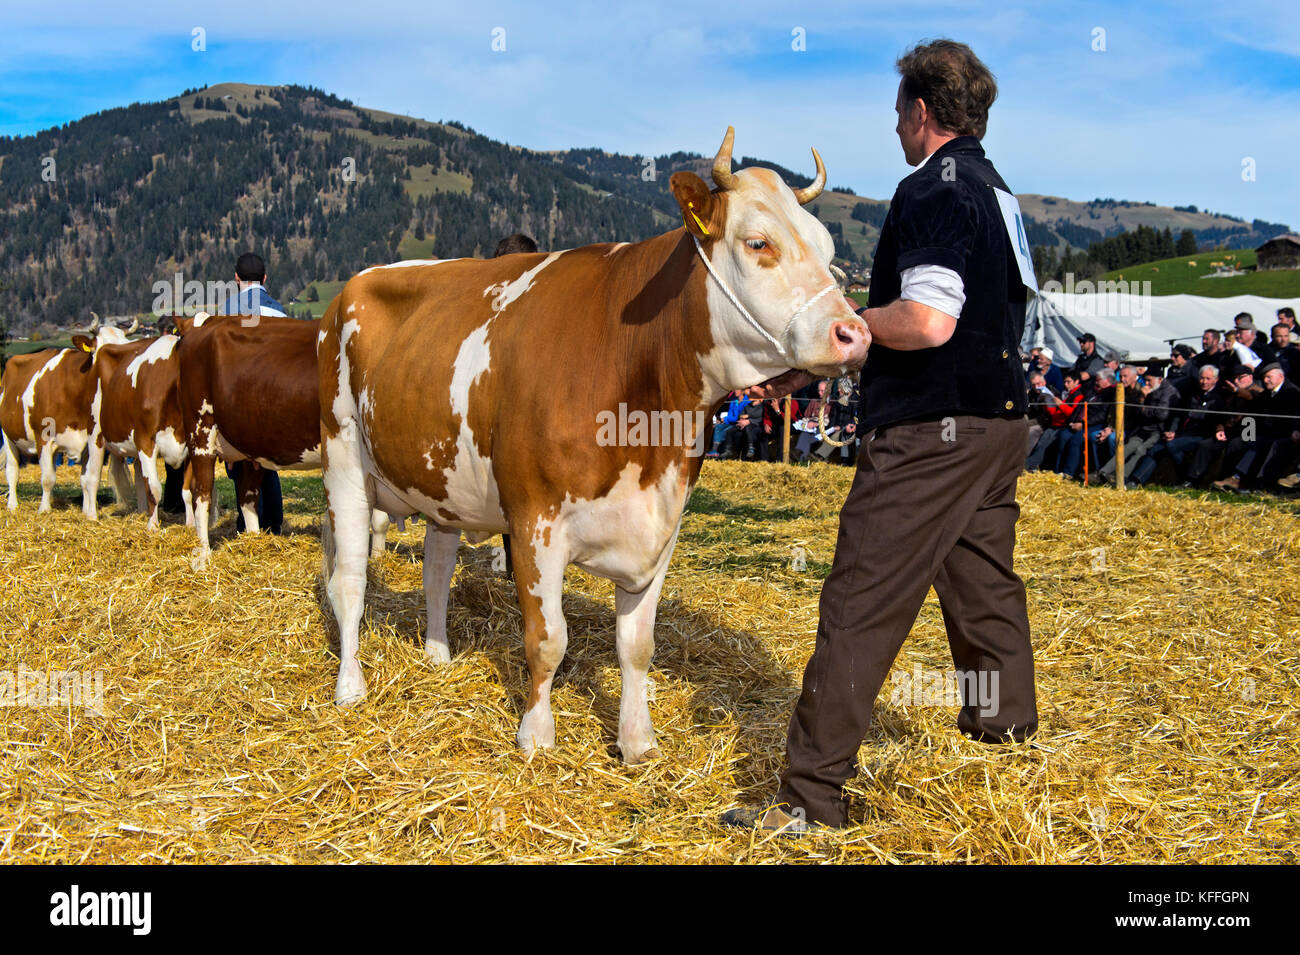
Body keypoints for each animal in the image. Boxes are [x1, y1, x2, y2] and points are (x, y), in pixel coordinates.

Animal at [0, 317, 137, 514]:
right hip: (7, 434)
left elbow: (87, 479)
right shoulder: (43, 439)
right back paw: (12, 505)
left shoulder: (91, 440)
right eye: (105, 352)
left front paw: (87, 511)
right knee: (12, 470)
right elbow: (47, 478)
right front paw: (44, 510)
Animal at [318, 128, 868, 769]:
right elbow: (547, 640)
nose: (856, 334)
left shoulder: (661, 525)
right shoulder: (534, 521)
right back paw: (350, 686)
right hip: (344, 460)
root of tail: (352, 287)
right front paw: (536, 735)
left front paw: (636, 740)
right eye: (759, 242)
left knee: (435, 569)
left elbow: (637, 644)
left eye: (827, 246)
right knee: (348, 581)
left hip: (443, 484)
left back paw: (436, 654)